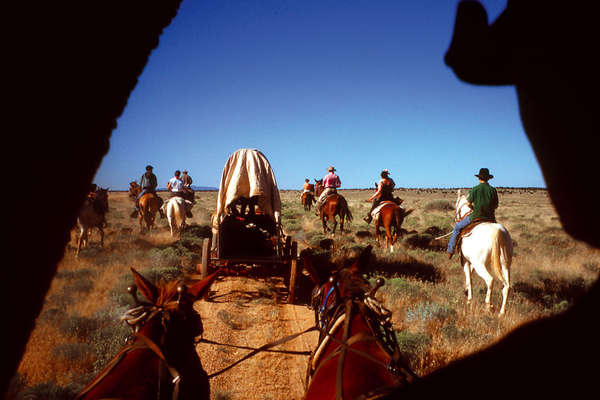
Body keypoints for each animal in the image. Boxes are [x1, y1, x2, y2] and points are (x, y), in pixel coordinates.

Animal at [454, 189, 510, 318]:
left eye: (455, 204)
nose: (456, 219)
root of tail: (497, 232)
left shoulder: (466, 261)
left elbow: (469, 277)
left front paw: (469, 299)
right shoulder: (472, 263)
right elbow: (470, 276)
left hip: (481, 265)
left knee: (490, 280)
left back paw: (489, 306)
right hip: (505, 265)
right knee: (507, 286)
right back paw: (501, 312)